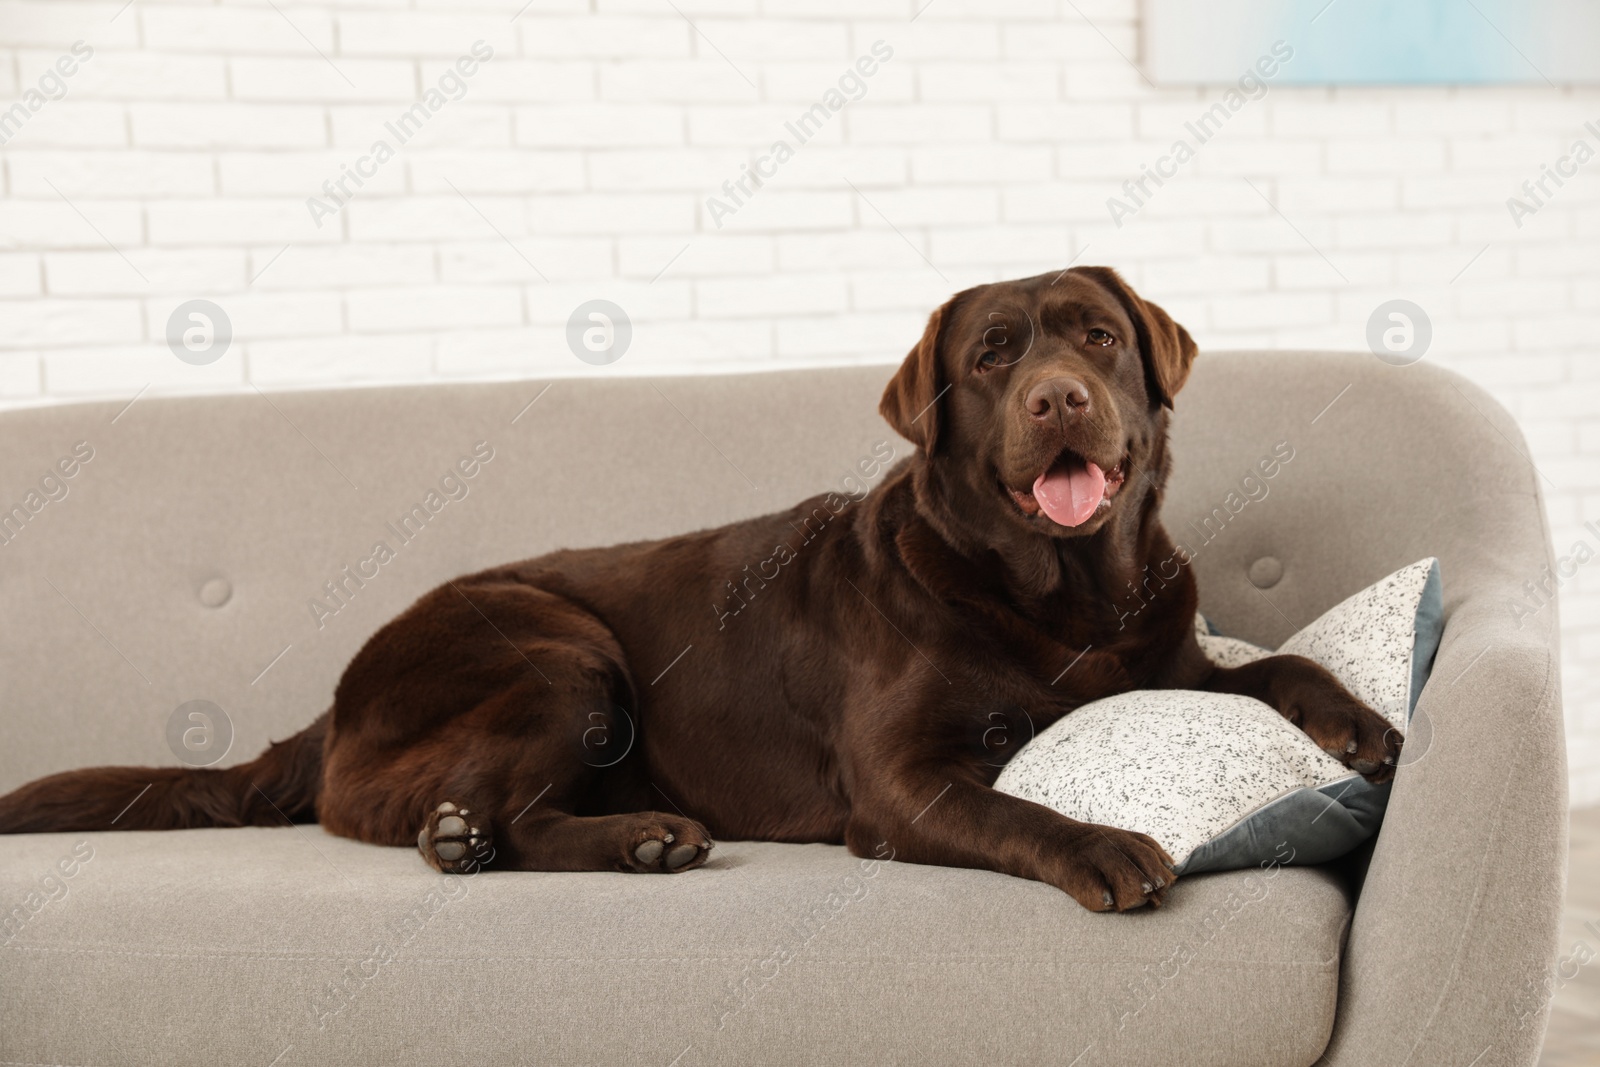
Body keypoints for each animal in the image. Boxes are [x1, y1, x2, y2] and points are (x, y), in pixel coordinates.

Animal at [0, 267, 1401, 908]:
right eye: (995, 357)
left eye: (1098, 337)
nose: (1060, 399)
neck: (1055, 594)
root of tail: (338, 687)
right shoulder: (899, 777)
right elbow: (1017, 805)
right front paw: (1104, 842)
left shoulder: (1164, 650)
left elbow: (1270, 663)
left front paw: (1361, 722)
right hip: (559, 649)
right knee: (425, 808)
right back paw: (519, 835)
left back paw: (623, 836)